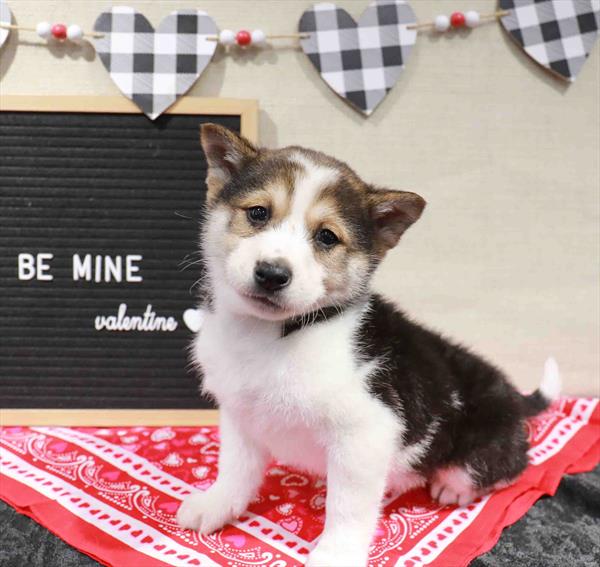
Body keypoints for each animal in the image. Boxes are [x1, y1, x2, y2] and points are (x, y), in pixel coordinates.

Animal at [176, 125, 560, 567]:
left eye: (327, 237)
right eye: (258, 213)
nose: (272, 274)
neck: (276, 335)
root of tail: (514, 396)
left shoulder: (365, 432)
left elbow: (347, 506)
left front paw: (335, 554)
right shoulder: (241, 415)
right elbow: (235, 469)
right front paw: (216, 505)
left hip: (484, 440)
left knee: (509, 464)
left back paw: (453, 484)